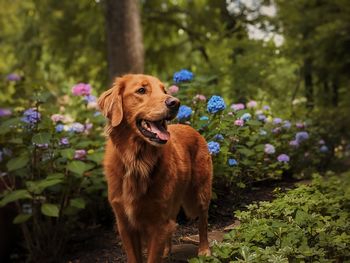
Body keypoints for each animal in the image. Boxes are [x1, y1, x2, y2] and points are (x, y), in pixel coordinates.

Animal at [98, 74, 213, 263]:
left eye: (164, 90)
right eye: (141, 90)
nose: (175, 103)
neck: (137, 161)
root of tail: (191, 128)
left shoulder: (158, 222)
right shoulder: (125, 224)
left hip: (200, 192)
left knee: (203, 220)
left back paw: (204, 250)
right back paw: (167, 251)